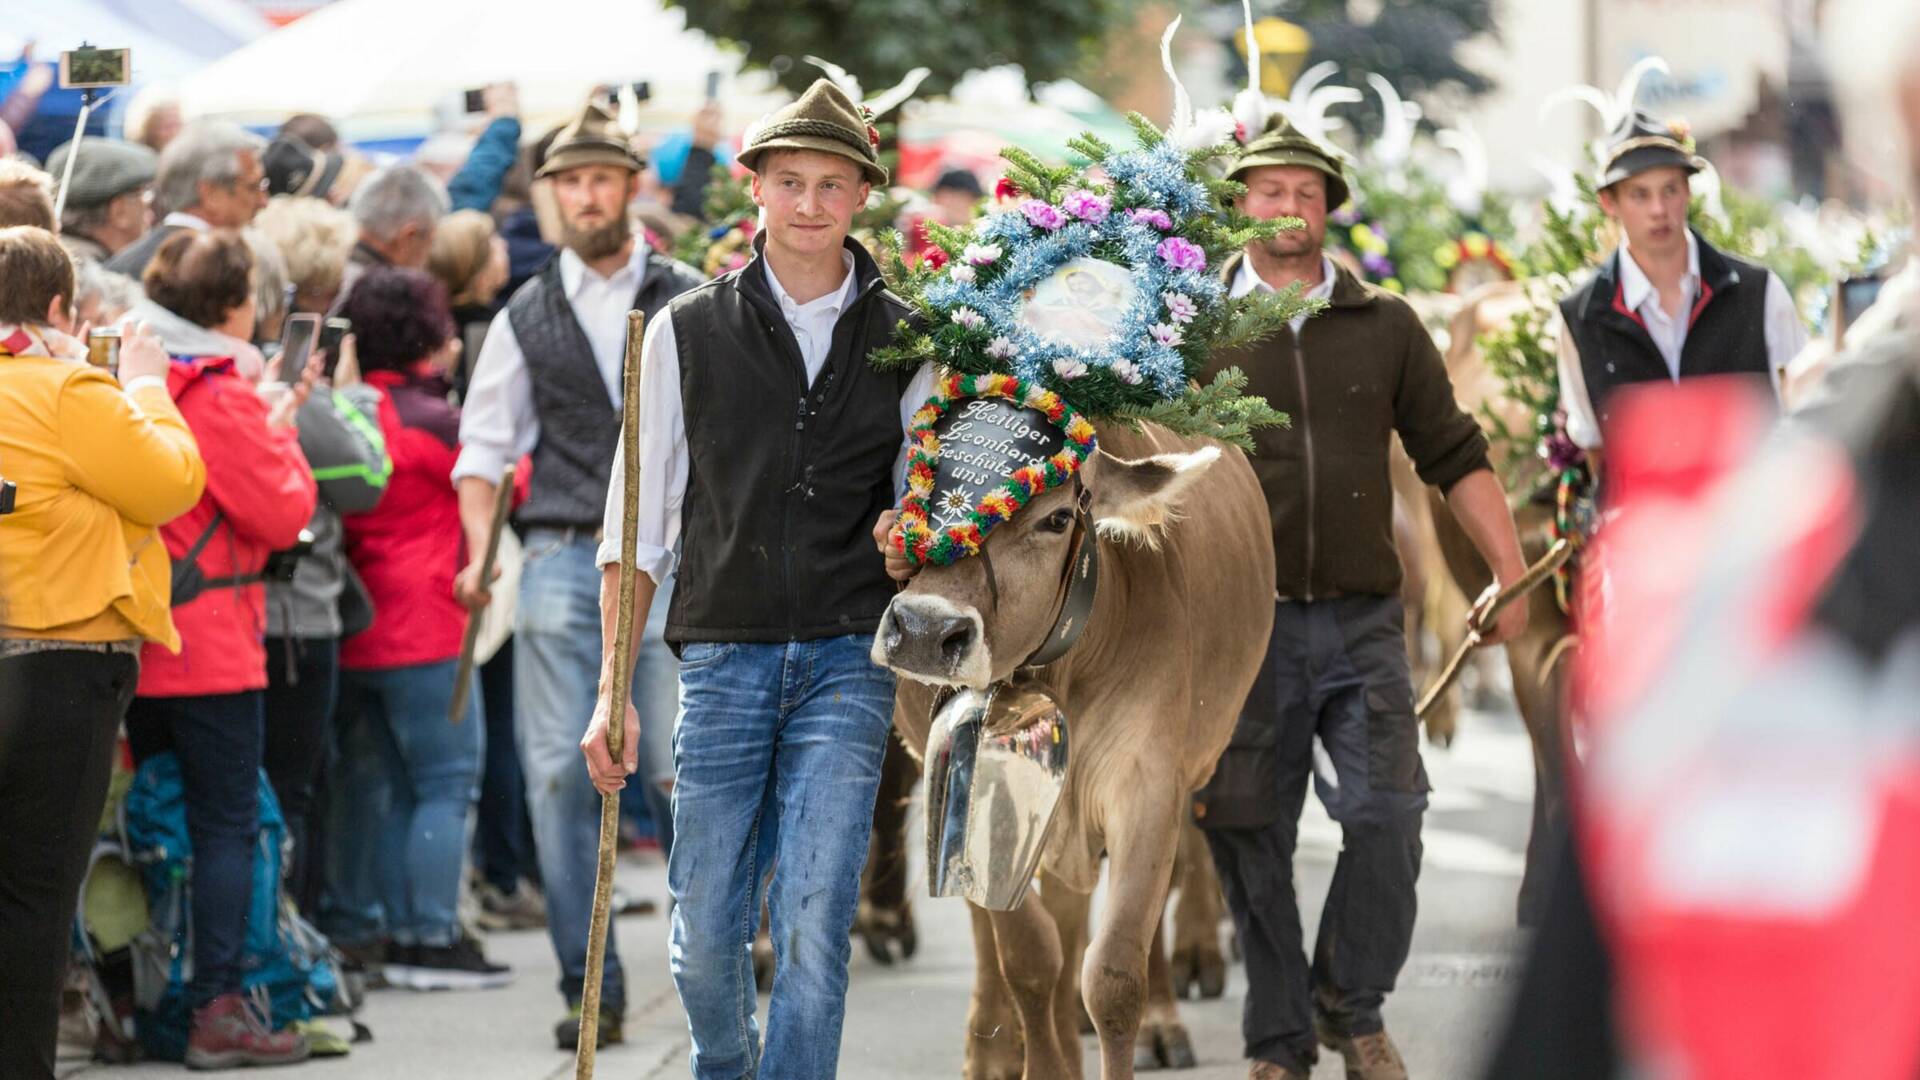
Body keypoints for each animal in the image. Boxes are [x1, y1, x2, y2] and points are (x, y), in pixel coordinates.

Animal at [875, 418, 1274, 1076]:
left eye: (1058, 518)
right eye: (917, 484)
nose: (926, 630)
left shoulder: (1147, 785)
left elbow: (1111, 974)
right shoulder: (988, 789)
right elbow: (1030, 959)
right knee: (993, 926)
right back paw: (993, 1049)